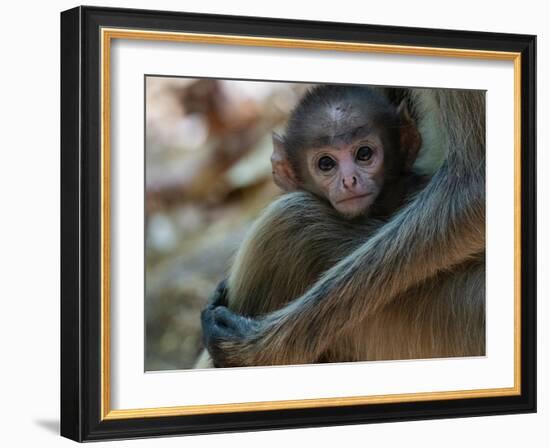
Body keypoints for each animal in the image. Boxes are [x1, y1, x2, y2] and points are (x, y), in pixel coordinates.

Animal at [201, 85, 486, 368]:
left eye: (364, 154)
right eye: (326, 163)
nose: (350, 180)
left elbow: (476, 191)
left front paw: (260, 350)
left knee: (288, 221)